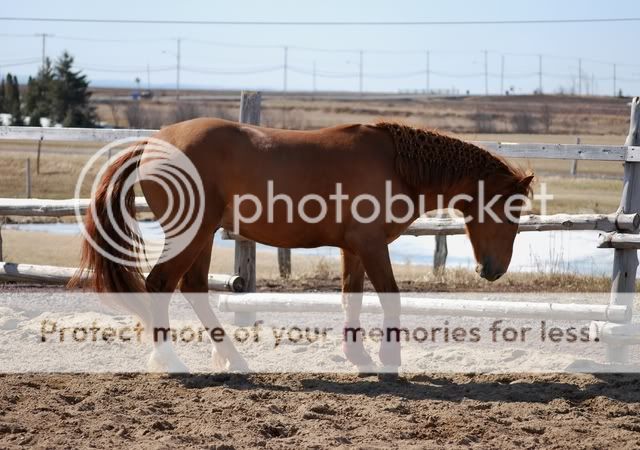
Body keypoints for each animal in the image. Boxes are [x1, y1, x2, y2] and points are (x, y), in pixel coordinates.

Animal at [70, 118, 532, 376]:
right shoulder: (371, 245)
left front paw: (359, 357)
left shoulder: (354, 248)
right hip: (191, 232)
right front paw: (388, 360)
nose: (493, 270)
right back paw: (173, 363)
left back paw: (234, 361)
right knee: (161, 284)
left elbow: (351, 298)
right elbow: (391, 298)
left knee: (194, 288)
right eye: (510, 210)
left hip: (201, 236)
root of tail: (151, 142)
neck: (396, 165)